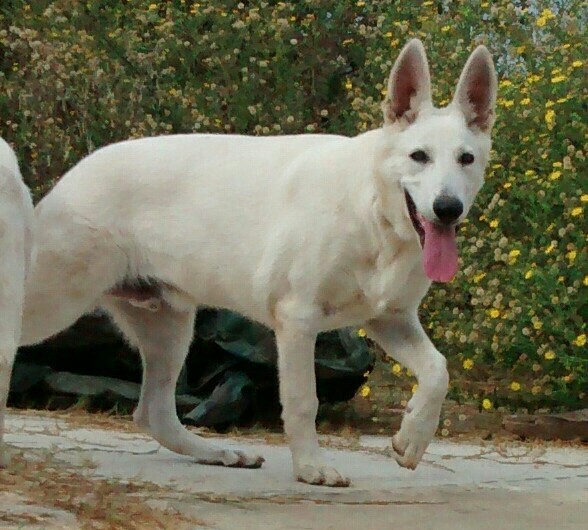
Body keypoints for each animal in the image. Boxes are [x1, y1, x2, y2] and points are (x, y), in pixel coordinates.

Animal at [19, 39, 497, 486]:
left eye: (466, 159)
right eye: (419, 156)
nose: (448, 209)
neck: (372, 209)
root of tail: (73, 174)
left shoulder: (390, 319)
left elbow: (438, 371)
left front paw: (413, 437)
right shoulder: (298, 320)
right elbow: (304, 401)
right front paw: (311, 467)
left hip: (168, 328)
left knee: (153, 412)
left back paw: (218, 453)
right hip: (56, 301)